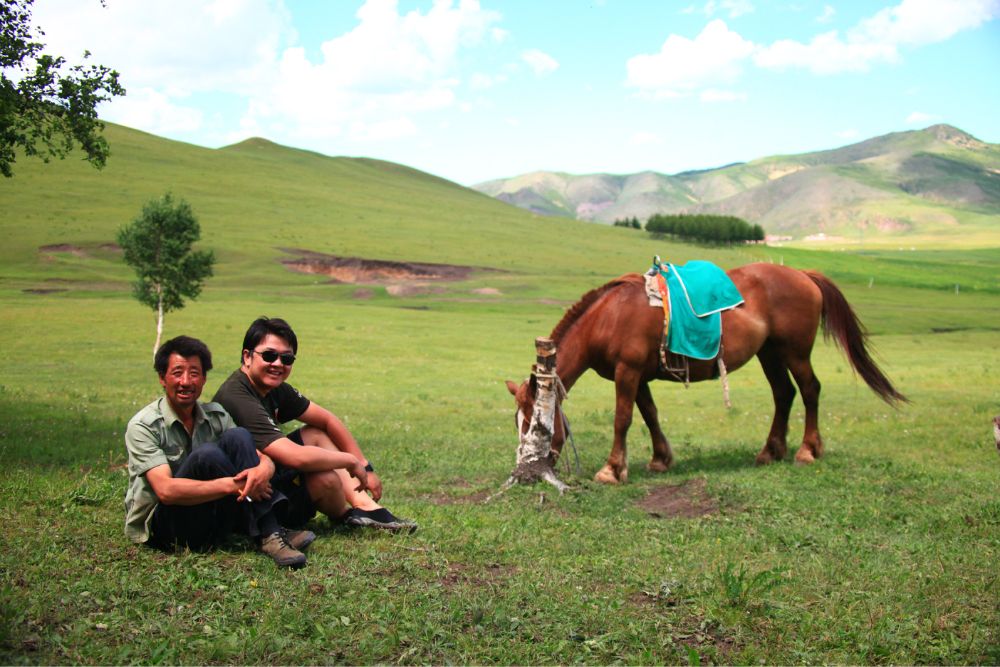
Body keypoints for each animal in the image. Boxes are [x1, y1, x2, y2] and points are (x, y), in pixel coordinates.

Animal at [508, 262, 908, 486]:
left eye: (536, 424)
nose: (527, 467)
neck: (608, 318)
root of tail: (802, 275)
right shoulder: (639, 376)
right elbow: (649, 415)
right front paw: (660, 459)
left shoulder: (629, 371)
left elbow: (623, 419)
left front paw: (612, 470)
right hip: (770, 354)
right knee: (784, 394)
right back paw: (770, 451)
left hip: (794, 352)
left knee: (810, 390)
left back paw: (808, 450)